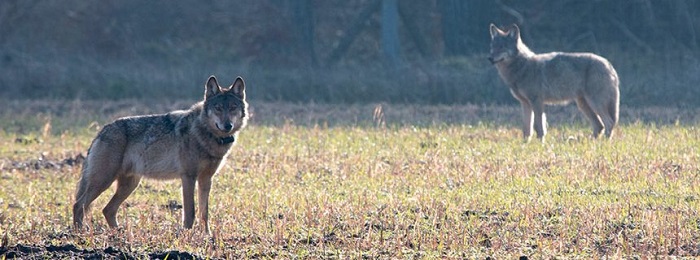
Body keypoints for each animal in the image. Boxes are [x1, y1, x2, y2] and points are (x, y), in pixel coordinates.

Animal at [73, 74, 249, 232]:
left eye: (232, 108)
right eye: (218, 108)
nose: (228, 125)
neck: (206, 134)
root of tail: (102, 130)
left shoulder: (206, 179)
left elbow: (204, 213)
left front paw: (207, 235)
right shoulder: (188, 177)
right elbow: (190, 212)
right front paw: (187, 235)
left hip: (129, 184)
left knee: (107, 209)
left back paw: (118, 233)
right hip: (104, 181)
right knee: (79, 205)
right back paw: (80, 233)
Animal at [490, 23, 620, 142]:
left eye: (502, 47)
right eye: (492, 47)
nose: (489, 58)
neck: (522, 66)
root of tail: (609, 64)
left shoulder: (537, 102)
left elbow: (539, 127)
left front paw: (540, 144)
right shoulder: (525, 104)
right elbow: (527, 129)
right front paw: (525, 145)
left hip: (594, 103)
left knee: (609, 123)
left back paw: (604, 143)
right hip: (583, 104)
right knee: (599, 125)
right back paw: (591, 143)